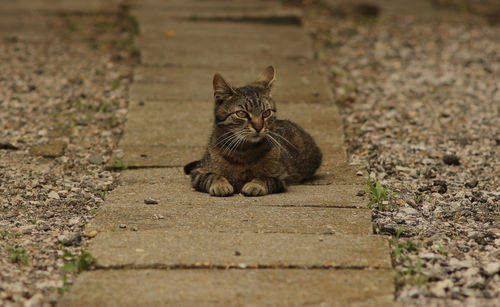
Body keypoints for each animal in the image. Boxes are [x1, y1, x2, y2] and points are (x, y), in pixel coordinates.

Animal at [183, 66, 320, 199]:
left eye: (266, 113)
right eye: (241, 114)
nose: (258, 127)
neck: (244, 150)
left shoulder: (281, 177)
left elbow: (265, 178)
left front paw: (255, 185)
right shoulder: (198, 173)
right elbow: (212, 176)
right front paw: (220, 185)